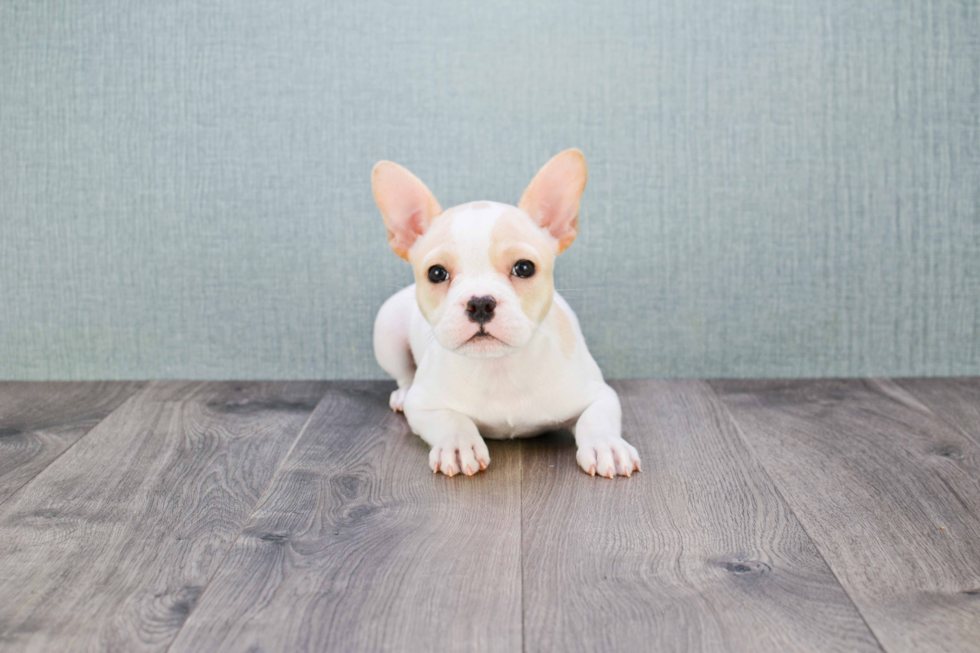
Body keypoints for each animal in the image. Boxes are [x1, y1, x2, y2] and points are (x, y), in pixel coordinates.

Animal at [372, 150, 640, 476]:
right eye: (436, 273)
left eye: (524, 267)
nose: (480, 303)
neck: (499, 368)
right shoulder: (423, 405)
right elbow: (450, 418)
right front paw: (458, 444)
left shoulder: (599, 394)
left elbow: (596, 417)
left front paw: (606, 445)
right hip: (387, 330)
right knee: (403, 376)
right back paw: (402, 392)